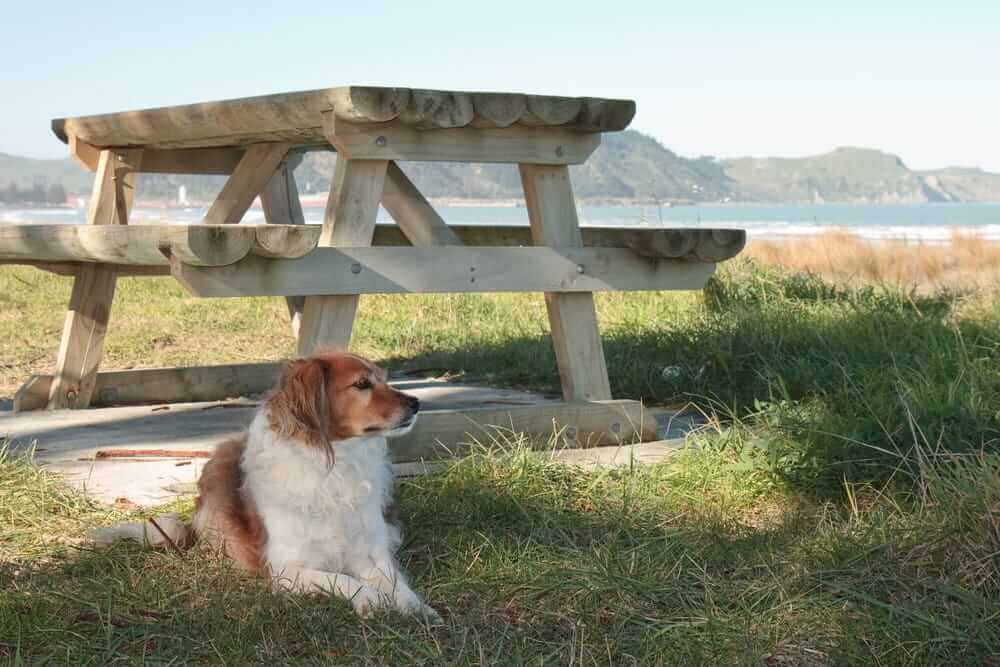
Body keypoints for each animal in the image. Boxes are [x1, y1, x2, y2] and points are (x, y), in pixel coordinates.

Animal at [93, 352, 438, 624]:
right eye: (362, 384)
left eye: (382, 379)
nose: (417, 403)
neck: (335, 464)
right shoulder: (286, 570)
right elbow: (342, 579)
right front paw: (369, 599)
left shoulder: (369, 551)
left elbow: (394, 581)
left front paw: (414, 606)